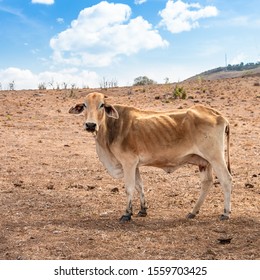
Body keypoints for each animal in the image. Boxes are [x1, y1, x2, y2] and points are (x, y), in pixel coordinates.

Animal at [69, 92, 232, 223]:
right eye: (84, 105)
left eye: (102, 105)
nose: (90, 125)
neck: (112, 126)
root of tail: (216, 113)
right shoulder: (135, 165)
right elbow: (139, 185)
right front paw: (143, 210)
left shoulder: (128, 162)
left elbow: (129, 188)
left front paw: (127, 214)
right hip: (204, 162)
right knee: (207, 183)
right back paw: (193, 212)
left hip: (215, 158)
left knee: (226, 180)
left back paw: (225, 213)